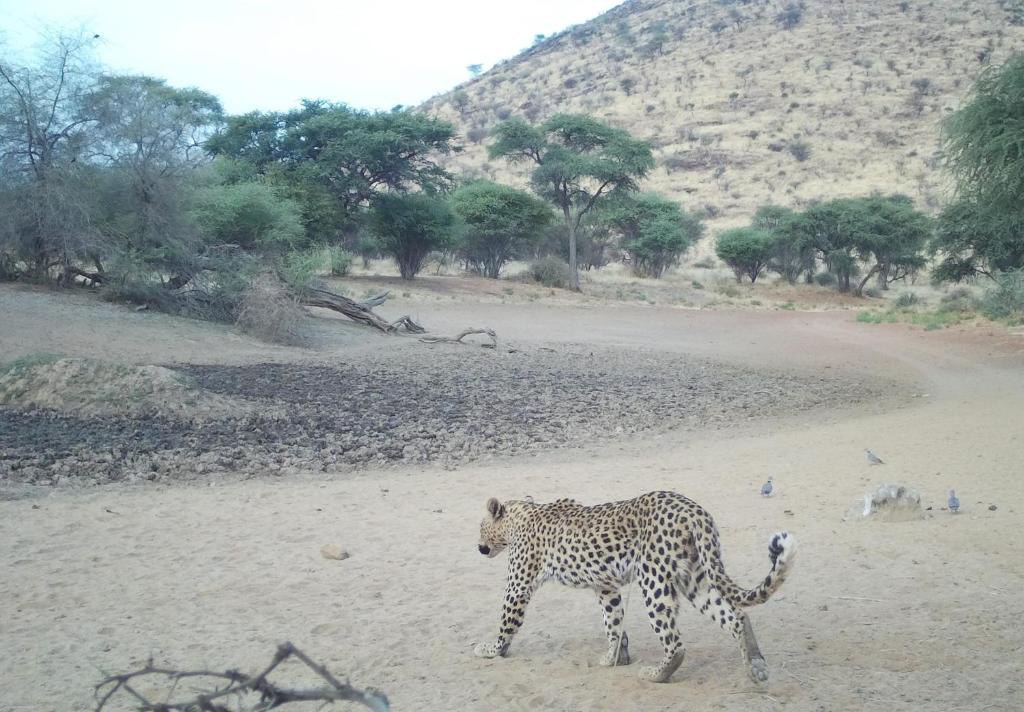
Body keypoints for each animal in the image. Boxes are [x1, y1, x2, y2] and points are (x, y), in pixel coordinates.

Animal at [474, 491, 796, 683]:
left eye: (479, 526)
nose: (478, 547)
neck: (521, 515)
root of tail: (694, 510)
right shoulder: (605, 586)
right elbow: (613, 622)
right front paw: (614, 657)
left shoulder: (518, 585)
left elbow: (506, 621)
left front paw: (490, 649)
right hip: (695, 578)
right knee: (736, 616)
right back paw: (755, 666)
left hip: (654, 581)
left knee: (676, 643)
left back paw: (655, 674)